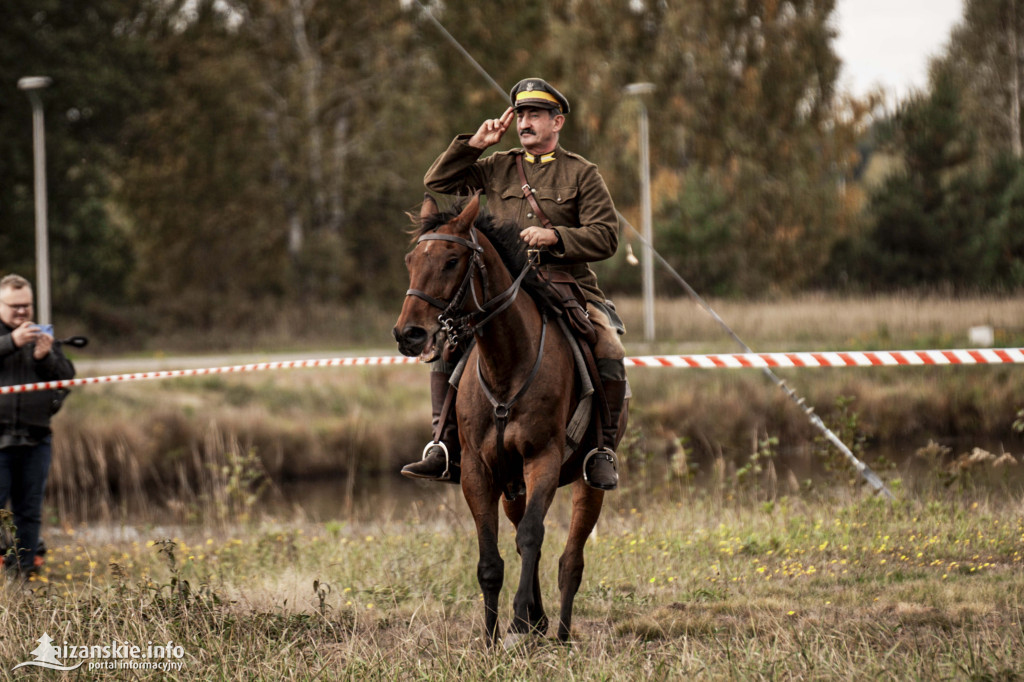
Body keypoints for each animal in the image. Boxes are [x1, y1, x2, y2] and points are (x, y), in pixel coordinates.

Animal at [391, 192, 618, 643]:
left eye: (451, 260)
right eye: (411, 259)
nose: (409, 335)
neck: (507, 362)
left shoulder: (543, 459)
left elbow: (533, 536)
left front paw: (515, 620)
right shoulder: (478, 472)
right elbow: (491, 559)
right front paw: (492, 635)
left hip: (587, 483)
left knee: (570, 559)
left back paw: (560, 631)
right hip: (512, 486)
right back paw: (539, 621)